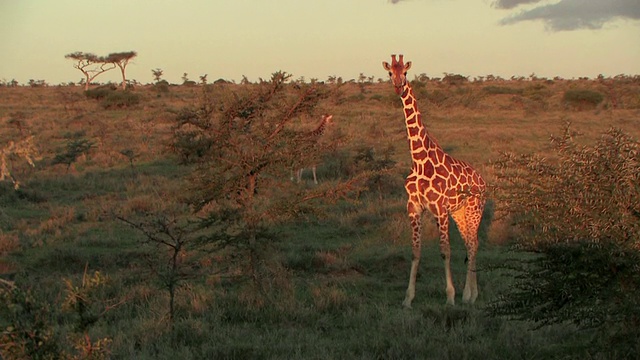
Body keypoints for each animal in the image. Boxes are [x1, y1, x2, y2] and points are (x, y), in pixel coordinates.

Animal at [384, 54, 484, 306]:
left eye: (405, 72)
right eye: (390, 72)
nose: (398, 86)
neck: (420, 159)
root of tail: (483, 180)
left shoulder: (439, 209)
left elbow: (445, 251)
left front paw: (450, 297)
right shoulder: (414, 207)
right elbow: (416, 251)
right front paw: (408, 299)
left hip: (474, 210)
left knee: (473, 244)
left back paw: (469, 295)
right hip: (459, 213)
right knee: (470, 243)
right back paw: (470, 293)